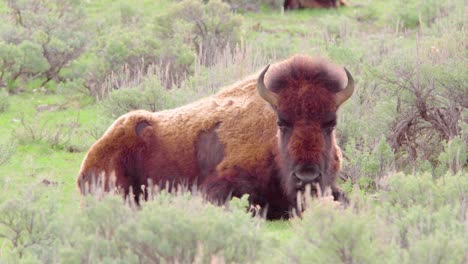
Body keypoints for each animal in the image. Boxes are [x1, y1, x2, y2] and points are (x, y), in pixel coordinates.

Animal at [77, 54, 354, 220]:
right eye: (282, 122)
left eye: (331, 123)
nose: (307, 176)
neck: (273, 147)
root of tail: (91, 156)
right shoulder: (219, 187)